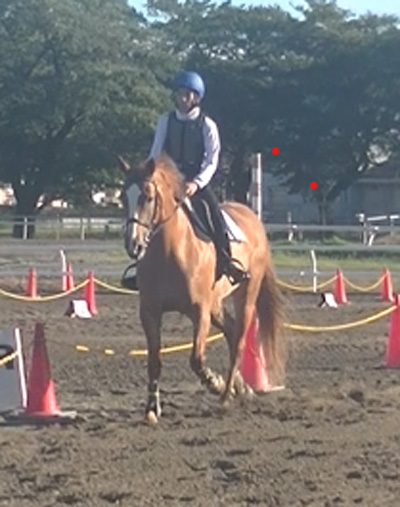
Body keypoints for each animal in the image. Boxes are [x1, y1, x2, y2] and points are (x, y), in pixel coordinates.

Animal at [119, 153, 285, 424]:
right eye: (124, 197)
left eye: (148, 196)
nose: (133, 244)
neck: (169, 252)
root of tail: (251, 216)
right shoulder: (150, 312)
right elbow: (154, 361)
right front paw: (152, 408)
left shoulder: (199, 312)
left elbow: (196, 359)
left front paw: (214, 383)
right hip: (216, 304)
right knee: (231, 330)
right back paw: (242, 387)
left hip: (245, 295)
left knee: (239, 340)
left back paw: (227, 395)